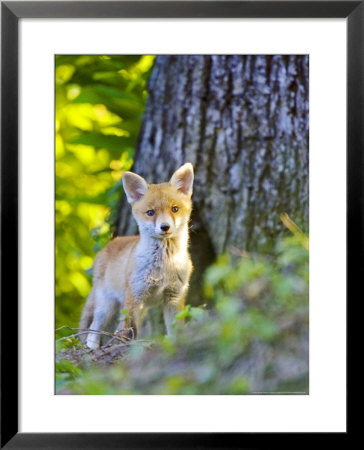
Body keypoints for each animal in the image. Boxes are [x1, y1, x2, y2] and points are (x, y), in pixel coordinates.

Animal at [79, 162, 193, 348]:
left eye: (175, 209)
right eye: (150, 212)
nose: (165, 227)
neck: (163, 267)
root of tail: (109, 244)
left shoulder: (174, 297)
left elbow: (176, 329)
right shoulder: (135, 295)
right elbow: (127, 331)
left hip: (139, 308)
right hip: (107, 305)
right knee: (94, 327)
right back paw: (92, 348)